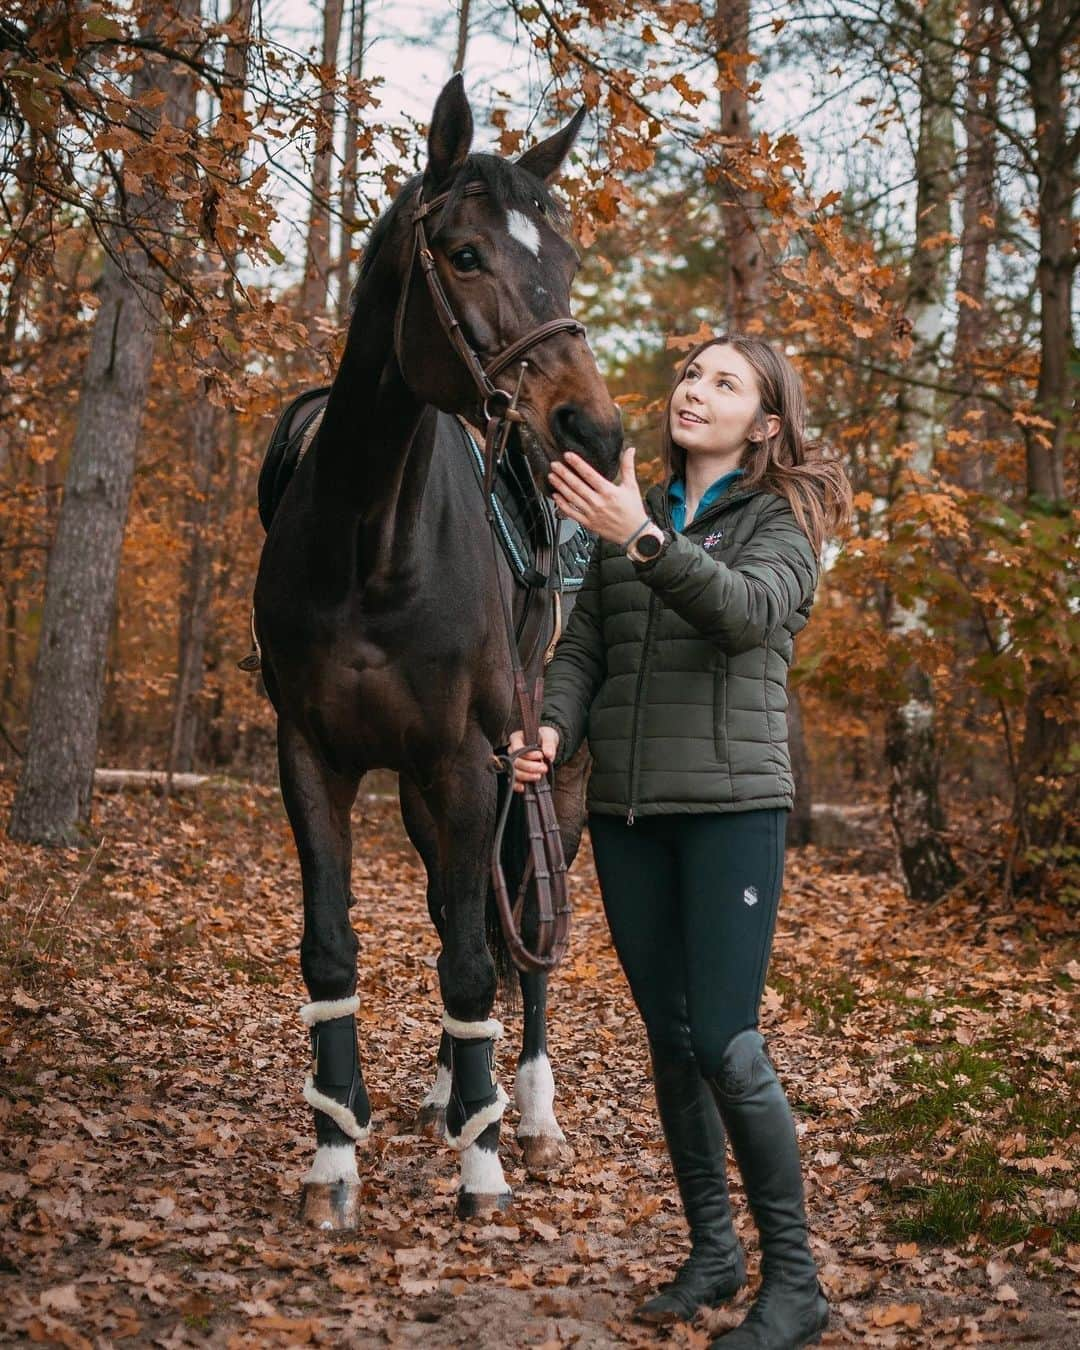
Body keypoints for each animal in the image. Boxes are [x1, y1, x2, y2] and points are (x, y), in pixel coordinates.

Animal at [253, 78, 621, 1231]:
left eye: (567, 256)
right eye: (463, 254)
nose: (593, 433)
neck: (371, 541)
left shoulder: (472, 762)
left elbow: (473, 961)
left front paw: (485, 1164)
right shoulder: (313, 756)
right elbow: (336, 946)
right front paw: (336, 1152)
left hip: (551, 776)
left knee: (529, 931)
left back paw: (528, 1111)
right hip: (428, 794)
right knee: (456, 909)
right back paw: (450, 1088)